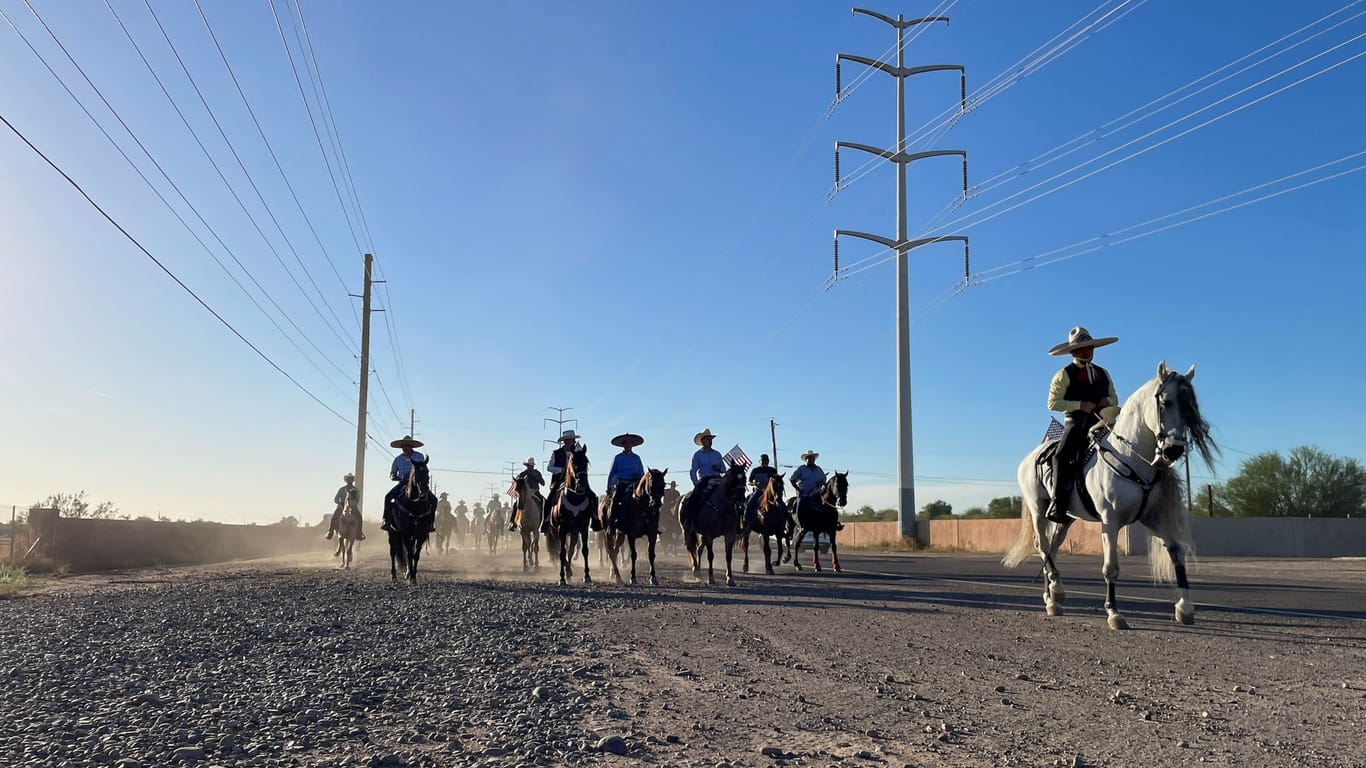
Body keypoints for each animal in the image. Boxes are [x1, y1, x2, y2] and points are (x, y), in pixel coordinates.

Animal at [1005, 360, 1218, 628]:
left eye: (1189, 406)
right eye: (1166, 402)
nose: (1174, 450)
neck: (1129, 457)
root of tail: (1029, 457)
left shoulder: (1153, 518)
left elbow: (1177, 553)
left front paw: (1185, 608)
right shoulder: (1110, 520)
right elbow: (1111, 568)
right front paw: (1114, 613)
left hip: (1064, 518)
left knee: (1051, 549)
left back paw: (1052, 598)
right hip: (1038, 509)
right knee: (1042, 547)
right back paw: (1056, 594)